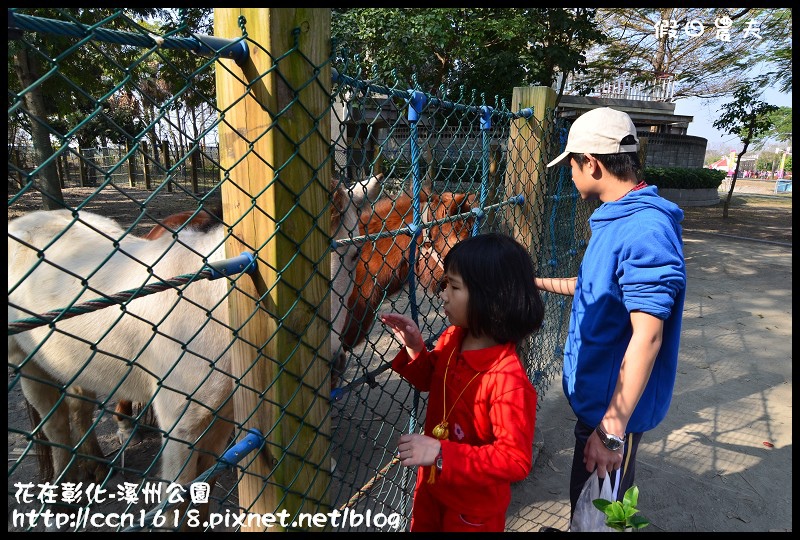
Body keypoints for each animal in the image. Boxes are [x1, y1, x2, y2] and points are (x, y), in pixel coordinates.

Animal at [6, 174, 382, 490]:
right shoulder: (180, 431)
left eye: (354, 253)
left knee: (77, 405)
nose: (332, 364)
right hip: (26, 362)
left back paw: (95, 466)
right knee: (54, 422)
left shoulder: (219, 427)